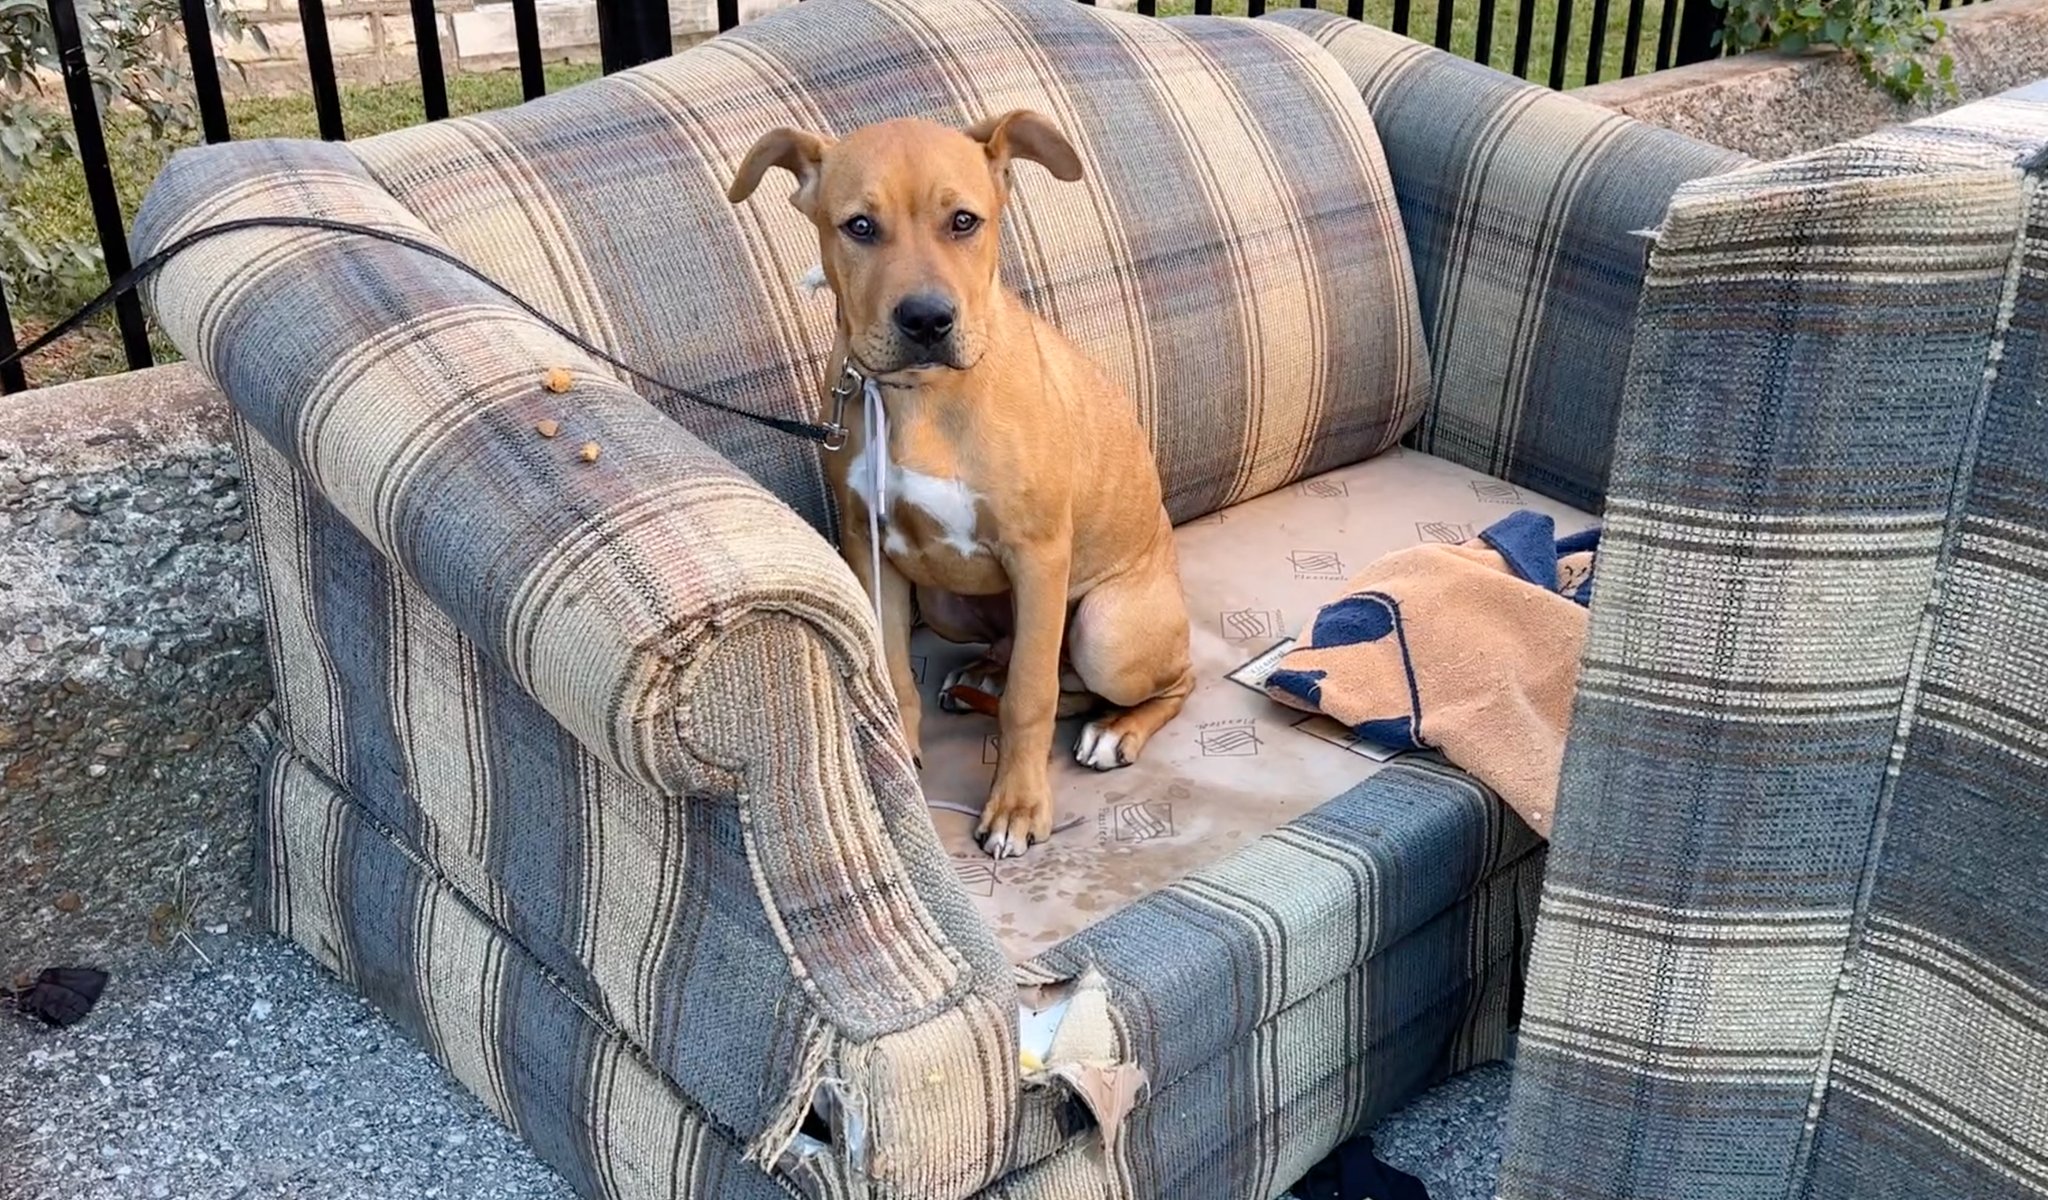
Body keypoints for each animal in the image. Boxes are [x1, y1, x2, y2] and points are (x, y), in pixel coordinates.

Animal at [729, 112, 1196, 855]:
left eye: (964, 221)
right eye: (859, 226)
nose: (926, 320)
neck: (922, 397)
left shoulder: (1039, 554)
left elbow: (1030, 698)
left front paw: (1017, 806)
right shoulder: (871, 548)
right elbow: (895, 673)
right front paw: (903, 763)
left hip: (1106, 631)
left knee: (1149, 680)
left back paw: (1116, 730)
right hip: (945, 599)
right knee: (1022, 659)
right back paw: (984, 674)